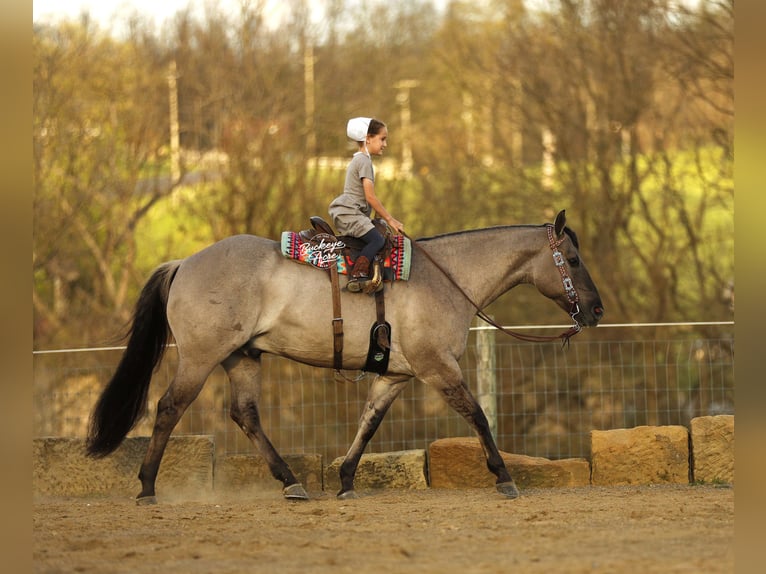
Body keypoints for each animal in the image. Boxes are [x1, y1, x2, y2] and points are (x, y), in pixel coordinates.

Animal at [86, 210, 603, 504]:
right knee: (169, 408)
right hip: (199, 359)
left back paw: (290, 481)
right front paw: (504, 477)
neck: (447, 278)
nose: (597, 310)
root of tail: (184, 263)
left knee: (246, 415)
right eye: (575, 260)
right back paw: (147, 486)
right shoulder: (438, 368)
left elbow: (368, 423)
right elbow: (477, 416)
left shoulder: (395, 375)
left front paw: (347, 479)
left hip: (243, 357)